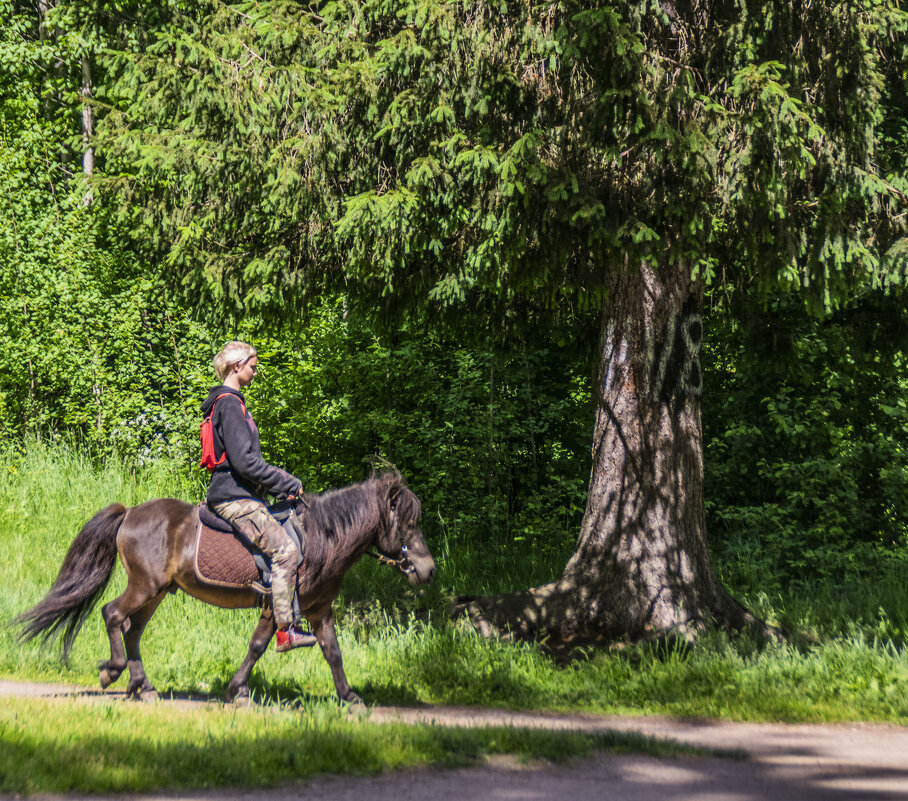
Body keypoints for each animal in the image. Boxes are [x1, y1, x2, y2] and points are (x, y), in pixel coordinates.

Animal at [15, 472, 434, 704]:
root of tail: (130, 513)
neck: (322, 538)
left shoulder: (319, 610)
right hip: (144, 586)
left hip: (156, 592)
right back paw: (113, 672)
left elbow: (333, 653)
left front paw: (349, 697)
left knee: (132, 631)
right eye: (408, 524)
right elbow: (259, 645)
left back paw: (143, 686)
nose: (428, 570)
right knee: (113, 615)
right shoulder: (275, 603)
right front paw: (238, 691)